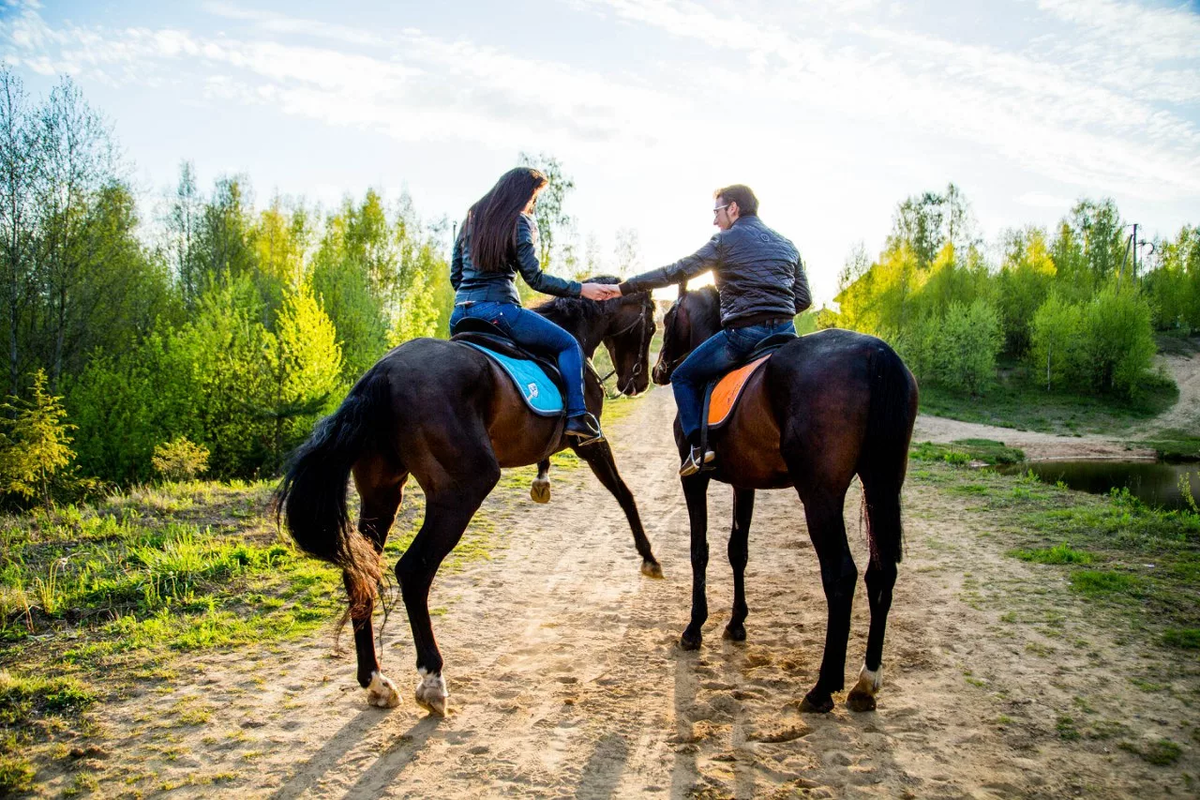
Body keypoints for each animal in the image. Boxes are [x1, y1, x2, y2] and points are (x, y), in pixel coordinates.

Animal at [277, 280, 662, 714]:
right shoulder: (591, 441)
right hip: (462, 491)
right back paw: (432, 679)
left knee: (359, 572)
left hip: (381, 496)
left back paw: (376, 682)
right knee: (413, 571)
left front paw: (542, 483)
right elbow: (624, 493)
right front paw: (649, 557)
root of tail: (381, 373)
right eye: (651, 325)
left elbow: (549, 457)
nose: (638, 384)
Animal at [652, 286, 912, 714]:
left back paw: (822, 688)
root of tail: (876, 353)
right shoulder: (744, 483)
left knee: (841, 576)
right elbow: (737, 550)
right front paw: (736, 623)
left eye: (668, 317)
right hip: (881, 484)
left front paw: (694, 628)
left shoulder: (696, 480)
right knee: (881, 572)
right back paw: (865, 682)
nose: (658, 370)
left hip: (821, 497)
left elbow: (699, 551)